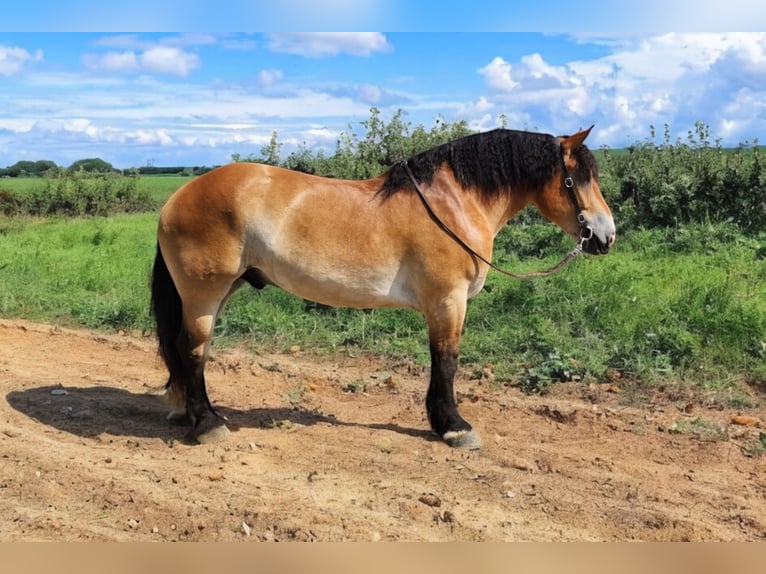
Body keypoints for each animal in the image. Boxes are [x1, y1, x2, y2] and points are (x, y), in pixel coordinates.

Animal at [150, 125, 616, 450]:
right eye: (577, 179)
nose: (606, 235)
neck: (452, 203)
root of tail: (176, 197)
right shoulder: (447, 302)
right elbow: (447, 361)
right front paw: (454, 427)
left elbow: (440, 361)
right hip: (204, 292)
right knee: (192, 349)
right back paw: (208, 425)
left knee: (195, 350)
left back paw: (201, 414)